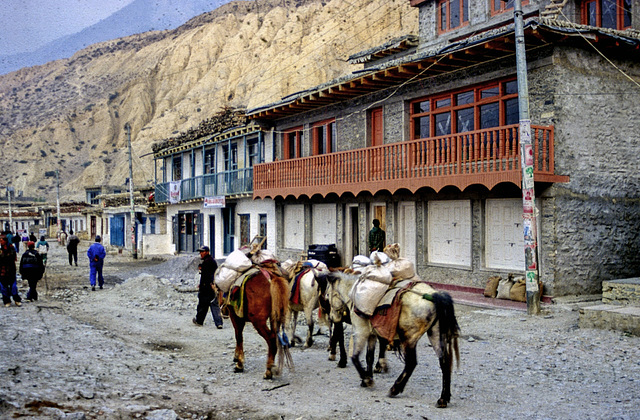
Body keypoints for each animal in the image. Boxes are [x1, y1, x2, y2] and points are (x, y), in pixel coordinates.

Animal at [324, 270, 460, 408]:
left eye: (328, 295)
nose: (332, 317)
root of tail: (434, 296)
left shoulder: (361, 331)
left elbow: (355, 357)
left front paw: (366, 379)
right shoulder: (372, 335)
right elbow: (369, 357)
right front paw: (367, 378)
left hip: (409, 338)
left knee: (411, 363)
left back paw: (395, 389)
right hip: (435, 334)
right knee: (444, 362)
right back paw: (443, 398)